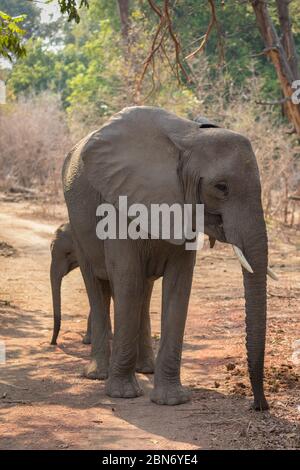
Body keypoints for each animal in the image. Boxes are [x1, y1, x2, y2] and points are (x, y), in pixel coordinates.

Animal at [62, 104, 276, 410]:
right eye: (221, 187)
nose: (259, 405)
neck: (188, 139)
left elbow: (178, 284)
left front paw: (172, 400)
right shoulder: (119, 201)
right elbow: (127, 278)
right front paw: (123, 394)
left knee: (144, 289)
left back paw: (146, 369)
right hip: (76, 223)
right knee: (98, 284)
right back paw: (98, 374)